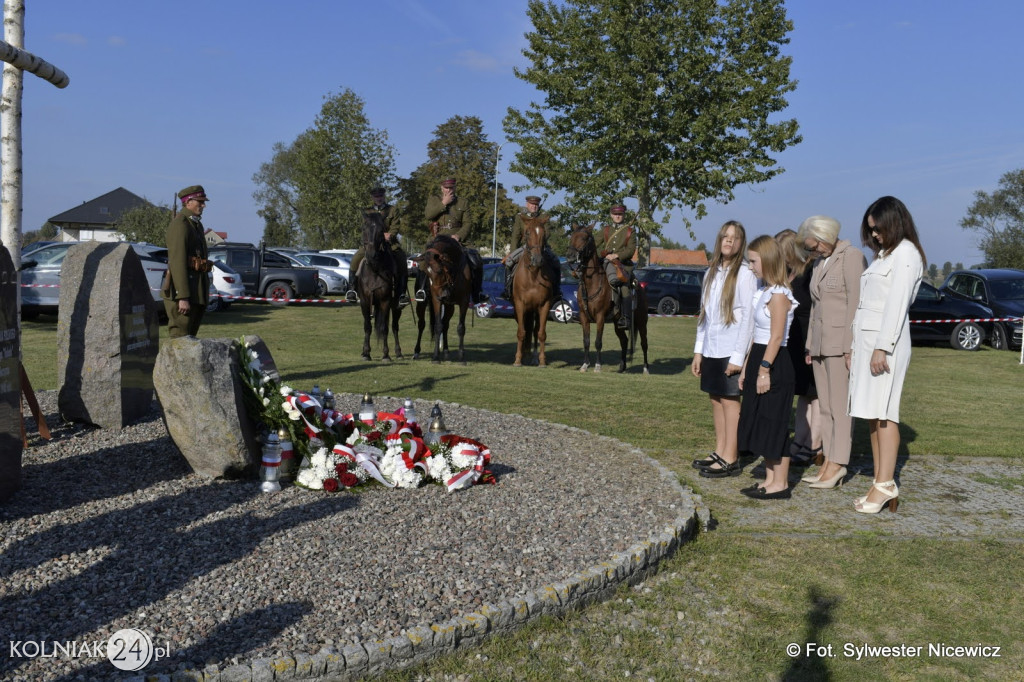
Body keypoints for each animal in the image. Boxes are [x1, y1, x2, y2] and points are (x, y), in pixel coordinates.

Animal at [358, 212, 401, 360]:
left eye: (381, 231)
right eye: (364, 229)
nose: (371, 255)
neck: (375, 269)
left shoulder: (385, 301)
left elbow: (384, 328)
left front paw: (386, 355)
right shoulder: (365, 301)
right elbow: (367, 326)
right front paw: (366, 353)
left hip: (396, 305)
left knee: (394, 326)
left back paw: (398, 352)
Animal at [411, 232, 471, 360]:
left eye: (439, 270)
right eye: (427, 274)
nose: (443, 295)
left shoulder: (464, 301)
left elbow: (459, 327)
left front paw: (461, 355)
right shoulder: (436, 300)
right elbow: (437, 326)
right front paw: (436, 356)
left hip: (449, 306)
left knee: (445, 324)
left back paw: (446, 350)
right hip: (422, 305)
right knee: (422, 324)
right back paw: (417, 351)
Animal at [512, 216, 561, 366]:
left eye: (544, 235)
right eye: (527, 233)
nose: (538, 259)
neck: (532, 276)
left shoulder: (544, 305)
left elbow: (541, 333)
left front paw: (542, 361)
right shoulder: (519, 304)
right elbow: (521, 332)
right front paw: (517, 360)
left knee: (534, 331)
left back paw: (533, 357)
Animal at [569, 223, 647, 372]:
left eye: (584, 238)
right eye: (572, 236)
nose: (570, 257)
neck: (591, 283)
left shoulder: (600, 317)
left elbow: (598, 342)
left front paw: (597, 366)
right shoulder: (584, 317)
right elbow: (586, 341)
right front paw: (585, 365)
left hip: (641, 322)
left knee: (644, 343)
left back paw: (646, 368)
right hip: (617, 324)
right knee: (624, 341)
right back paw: (622, 367)